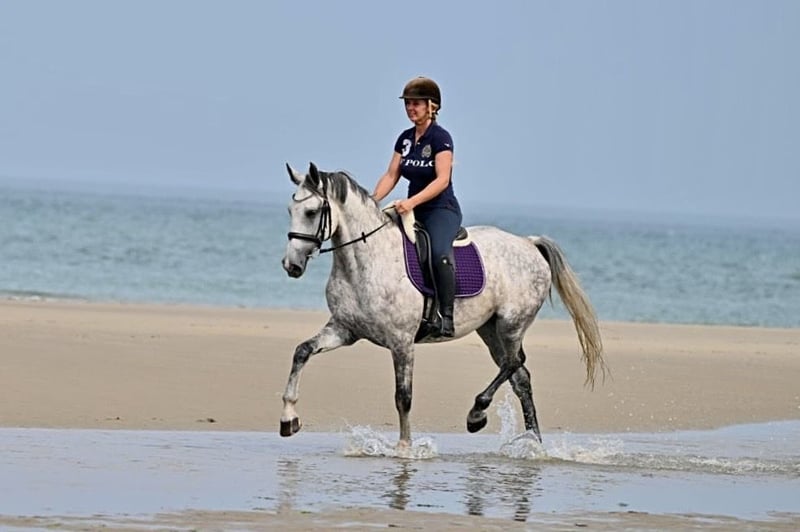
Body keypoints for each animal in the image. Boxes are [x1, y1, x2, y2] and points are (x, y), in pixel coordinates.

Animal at [280, 162, 605, 447]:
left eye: (311, 211)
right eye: (290, 210)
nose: (290, 265)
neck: (364, 262)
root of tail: (529, 243)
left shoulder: (402, 342)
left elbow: (403, 396)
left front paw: (405, 447)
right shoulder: (344, 330)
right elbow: (301, 352)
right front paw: (288, 419)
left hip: (511, 324)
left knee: (514, 363)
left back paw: (477, 414)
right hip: (490, 330)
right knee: (520, 377)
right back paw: (532, 442)